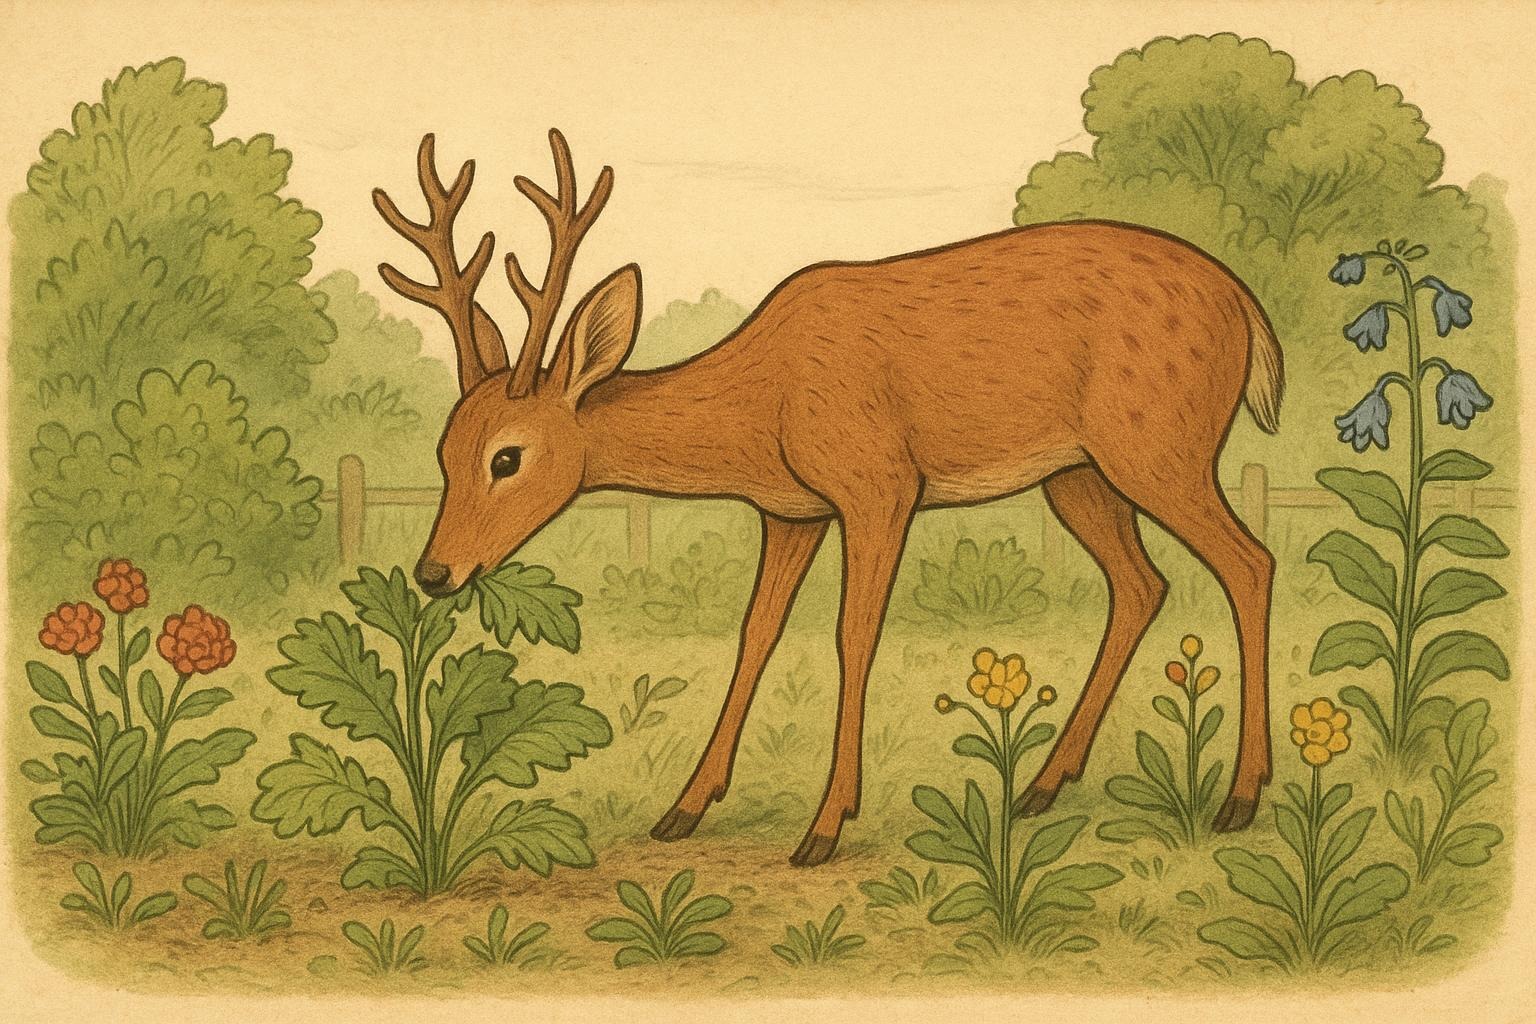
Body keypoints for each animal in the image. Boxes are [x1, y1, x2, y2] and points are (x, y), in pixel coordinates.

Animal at [373, 129, 1284, 867]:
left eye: (507, 457)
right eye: (443, 451)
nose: (435, 572)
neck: (762, 405)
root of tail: (1249, 308)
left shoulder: (879, 482)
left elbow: (854, 635)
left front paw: (824, 826)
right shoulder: (792, 510)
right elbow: (756, 635)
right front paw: (683, 809)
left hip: (1159, 447)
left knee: (1250, 562)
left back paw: (1241, 797)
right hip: (1080, 474)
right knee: (1143, 583)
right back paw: (1043, 787)